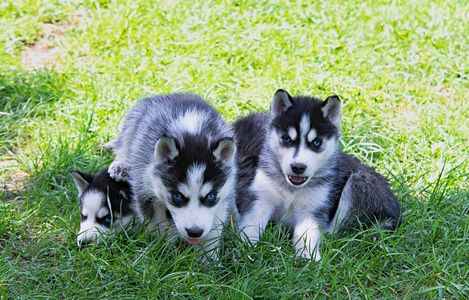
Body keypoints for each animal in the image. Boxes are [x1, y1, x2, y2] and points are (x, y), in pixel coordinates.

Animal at [107, 93, 236, 258]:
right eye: (177, 196)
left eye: (210, 196)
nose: (194, 232)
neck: (192, 129)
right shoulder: (144, 183)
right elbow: (155, 222)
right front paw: (162, 247)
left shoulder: (225, 192)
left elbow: (213, 228)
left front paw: (207, 258)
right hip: (135, 118)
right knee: (125, 140)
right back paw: (121, 164)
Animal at [236, 88, 400, 260]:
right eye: (287, 139)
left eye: (316, 142)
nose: (298, 167)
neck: (292, 189)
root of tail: (397, 214)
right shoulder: (261, 198)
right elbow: (251, 225)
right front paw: (245, 249)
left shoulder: (313, 209)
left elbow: (308, 234)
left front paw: (309, 258)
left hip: (361, 182)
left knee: (335, 230)